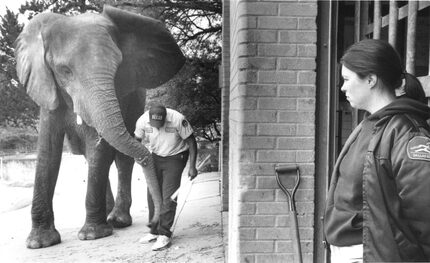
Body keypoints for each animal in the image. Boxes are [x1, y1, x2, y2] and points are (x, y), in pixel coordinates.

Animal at [13, 5, 185, 250]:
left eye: (118, 68)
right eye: (64, 70)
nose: (153, 224)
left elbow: (99, 148)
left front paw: (92, 235)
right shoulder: (47, 89)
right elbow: (47, 151)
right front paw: (40, 242)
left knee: (121, 159)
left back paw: (117, 220)